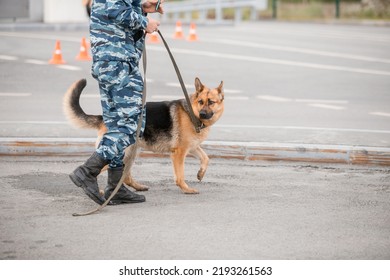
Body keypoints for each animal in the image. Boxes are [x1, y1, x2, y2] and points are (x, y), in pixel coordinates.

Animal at [62, 77, 224, 194]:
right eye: (201, 102)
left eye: (211, 102)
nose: (203, 114)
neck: (191, 112)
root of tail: (105, 118)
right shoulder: (179, 153)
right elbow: (180, 175)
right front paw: (186, 189)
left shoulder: (192, 148)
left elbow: (206, 158)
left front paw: (201, 173)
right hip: (121, 153)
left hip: (130, 154)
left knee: (125, 177)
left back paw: (134, 188)